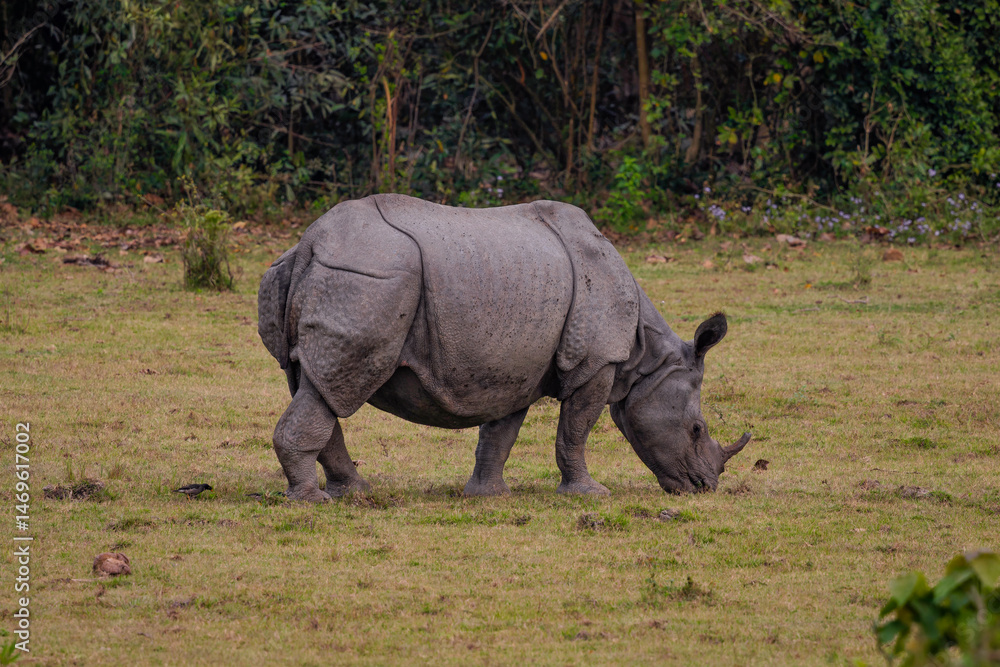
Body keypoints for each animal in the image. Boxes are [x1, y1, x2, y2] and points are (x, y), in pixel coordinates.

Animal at [258, 194, 750, 501]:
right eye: (697, 429)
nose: (704, 487)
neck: (646, 359)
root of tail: (310, 242)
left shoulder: (515, 367)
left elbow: (500, 433)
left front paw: (488, 495)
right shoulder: (595, 362)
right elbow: (576, 430)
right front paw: (590, 494)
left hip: (335, 275)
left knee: (312, 384)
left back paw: (353, 493)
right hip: (367, 278)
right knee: (337, 388)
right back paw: (312, 502)